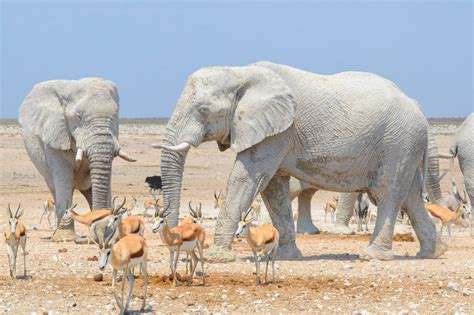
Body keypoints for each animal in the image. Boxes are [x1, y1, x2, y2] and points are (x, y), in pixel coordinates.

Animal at [18, 78, 135, 241]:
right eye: (78, 117)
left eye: (116, 116)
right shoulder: (54, 136)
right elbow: (63, 176)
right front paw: (64, 236)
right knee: (57, 189)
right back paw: (56, 232)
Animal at [156, 61, 448, 262]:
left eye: (203, 110)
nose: (178, 240)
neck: (241, 72)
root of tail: (418, 106)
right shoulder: (274, 133)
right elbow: (273, 188)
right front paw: (286, 256)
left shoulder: (276, 133)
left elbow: (247, 178)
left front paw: (219, 257)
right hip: (406, 144)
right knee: (411, 195)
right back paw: (432, 253)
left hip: (398, 141)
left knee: (388, 192)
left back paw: (373, 256)